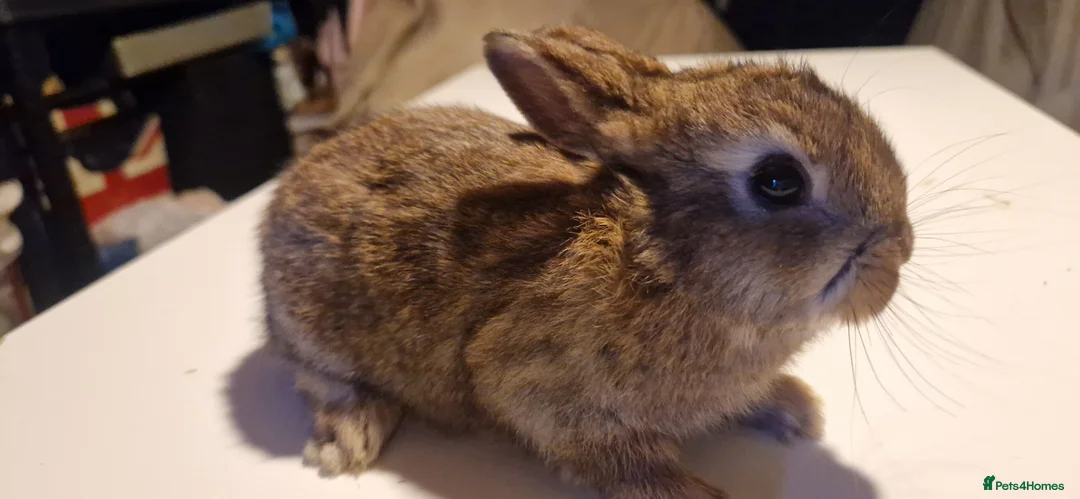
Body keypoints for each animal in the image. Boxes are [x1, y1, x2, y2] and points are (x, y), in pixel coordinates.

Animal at [259, 25, 913, 499]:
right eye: (778, 181)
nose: (900, 249)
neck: (667, 263)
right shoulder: (540, 394)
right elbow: (613, 463)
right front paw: (693, 493)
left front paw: (797, 410)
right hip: (314, 329)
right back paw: (348, 439)